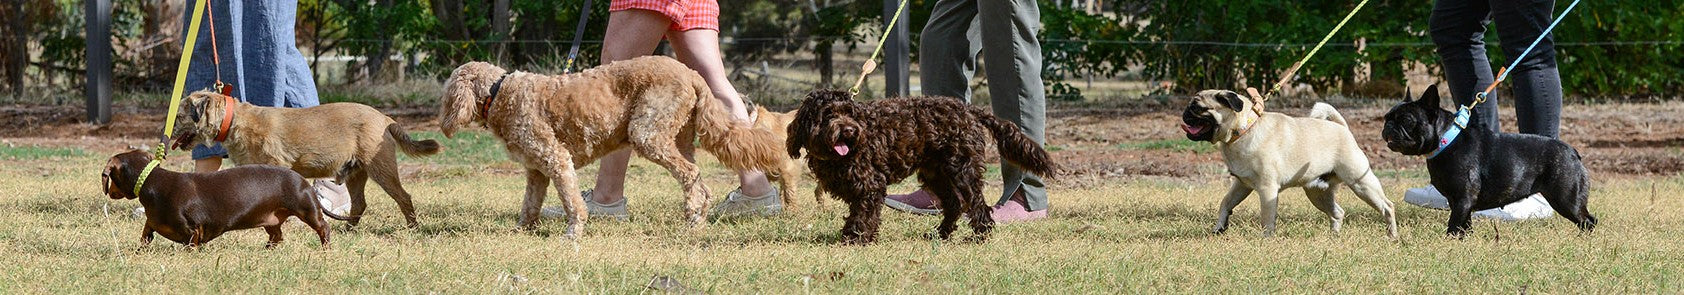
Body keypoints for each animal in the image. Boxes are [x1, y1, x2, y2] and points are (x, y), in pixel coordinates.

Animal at [172, 91, 441, 227]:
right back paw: (349, 230)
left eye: (179, 117)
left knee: (404, 197)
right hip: (356, 174)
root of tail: (385, 118)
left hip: (382, 169)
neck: (235, 119)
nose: (167, 132)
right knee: (359, 204)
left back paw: (413, 228)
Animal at [444, 56, 791, 237]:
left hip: (648, 133)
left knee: (691, 175)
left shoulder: (557, 159)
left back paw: (693, 217)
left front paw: (573, 233)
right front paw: (520, 231)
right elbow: (529, 204)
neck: (498, 93)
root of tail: (692, 73)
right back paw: (698, 217)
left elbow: (572, 202)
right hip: (678, 138)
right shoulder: (536, 171)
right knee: (699, 180)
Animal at [788, 90, 1050, 244]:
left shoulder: (871, 186)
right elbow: (859, 212)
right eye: (829, 114)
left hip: (962, 170)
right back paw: (940, 234)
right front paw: (855, 236)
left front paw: (855, 238)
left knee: (977, 204)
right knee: (954, 204)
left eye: (849, 113)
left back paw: (979, 236)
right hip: (937, 173)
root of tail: (968, 109)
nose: (850, 131)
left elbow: (863, 214)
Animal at [1178, 89, 1401, 237]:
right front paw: (1219, 227)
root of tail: (1342, 128)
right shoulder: (1241, 185)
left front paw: (1266, 239)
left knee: (1387, 206)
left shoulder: (1267, 189)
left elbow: (1267, 217)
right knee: (1338, 213)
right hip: (1317, 193)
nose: (1185, 113)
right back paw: (1334, 237)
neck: (1244, 130)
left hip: (1361, 183)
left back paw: (1392, 235)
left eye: (1198, 108)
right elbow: (1225, 202)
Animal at [1380, 84, 1589, 237]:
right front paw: (1465, 239)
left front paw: (1449, 240)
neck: (1446, 140)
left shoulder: (1463, 198)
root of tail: (1573, 152)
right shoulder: (1459, 201)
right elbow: (1464, 222)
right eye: (1386, 118)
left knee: (1587, 220)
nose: (1388, 126)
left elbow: (1454, 223)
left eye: (1407, 120)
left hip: (1566, 199)